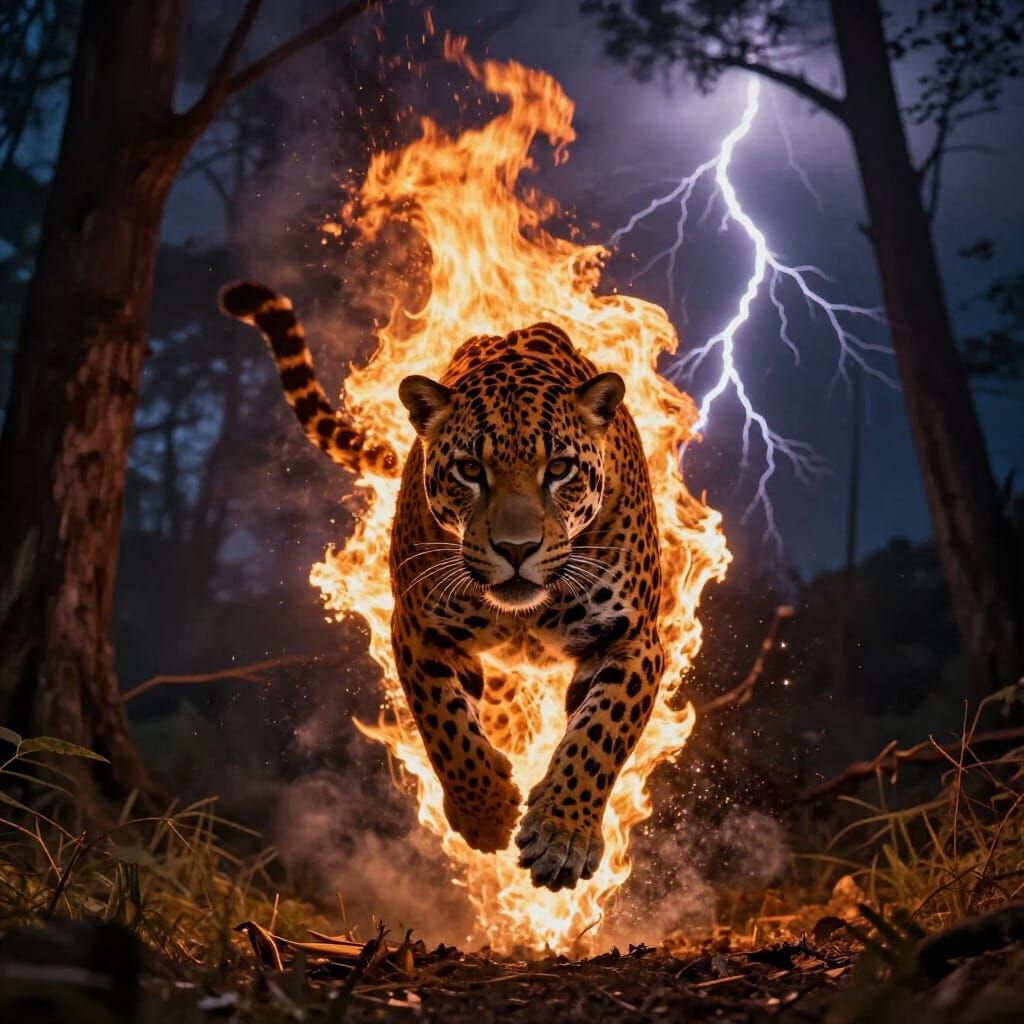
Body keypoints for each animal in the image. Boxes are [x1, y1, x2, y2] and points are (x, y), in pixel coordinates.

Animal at [220, 281, 663, 892]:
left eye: (560, 470)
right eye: (470, 471)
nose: (517, 549)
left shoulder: (632, 637)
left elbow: (600, 733)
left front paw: (562, 834)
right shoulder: (417, 627)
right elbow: (445, 725)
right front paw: (487, 813)